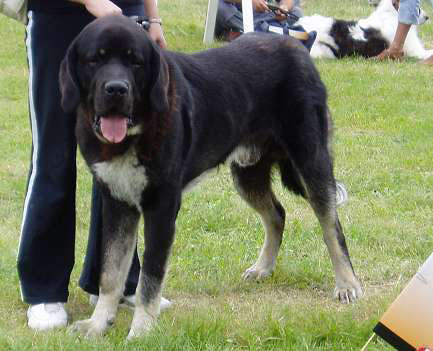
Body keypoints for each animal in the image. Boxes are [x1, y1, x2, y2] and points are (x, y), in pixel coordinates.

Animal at [58, 14, 362, 340]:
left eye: (135, 62)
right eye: (95, 60)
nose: (116, 89)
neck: (135, 132)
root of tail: (297, 44)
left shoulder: (161, 207)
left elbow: (149, 279)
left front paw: (141, 330)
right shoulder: (117, 202)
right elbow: (111, 272)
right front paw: (98, 324)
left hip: (311, 160)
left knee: (331, 225)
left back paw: (347, 284)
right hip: (247, 174)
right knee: (277, 215)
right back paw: (263, 267)